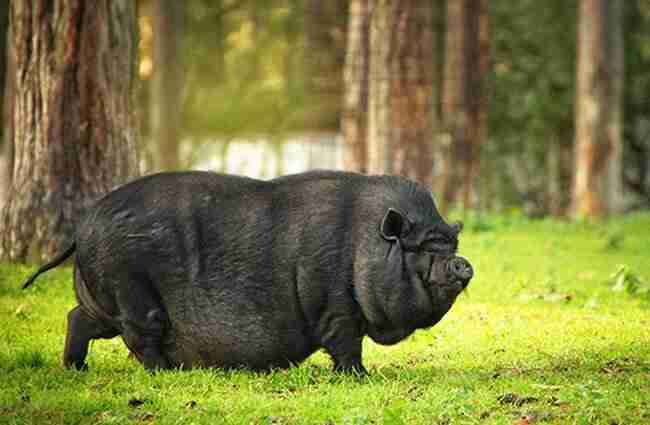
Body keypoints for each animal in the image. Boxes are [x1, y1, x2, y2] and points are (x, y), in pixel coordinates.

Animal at [22, 171, 474, 372]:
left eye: (451, 244)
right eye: (422, 247)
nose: (463, 263)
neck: (364, 243)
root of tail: (82, 226)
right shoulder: (333, 304)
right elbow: (346, 343)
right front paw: (361, 377)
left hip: (102, 297)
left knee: (77, 318)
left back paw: (75, 367)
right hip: (129, 287)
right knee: (140, 336)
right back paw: (167, 371)